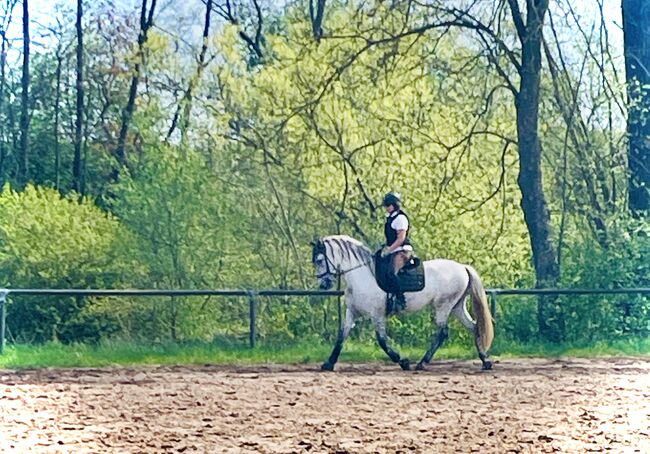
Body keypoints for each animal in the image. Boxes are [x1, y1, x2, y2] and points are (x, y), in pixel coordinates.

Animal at [312, 236, 494, 370]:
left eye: (319, 260)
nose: (323, 285)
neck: (362, 275)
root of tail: (462, 267)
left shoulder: (377, 314)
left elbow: (382, 340)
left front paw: (403, 361)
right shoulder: (352, 312)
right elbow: (342, 335)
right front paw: (329, 363)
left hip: (443, 305)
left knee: (442, 332)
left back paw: (422, 363)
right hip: (457, 306)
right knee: (474, 327)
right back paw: (485, 361)